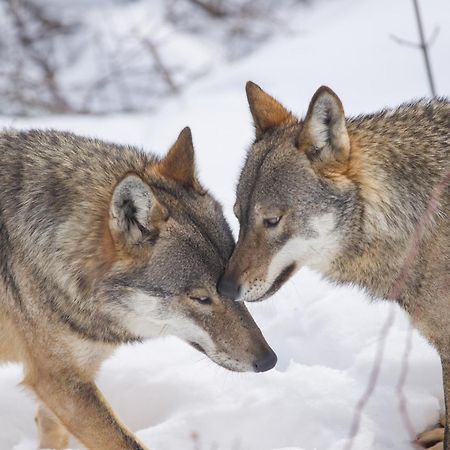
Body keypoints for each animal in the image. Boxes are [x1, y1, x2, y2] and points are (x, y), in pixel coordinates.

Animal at [0, 127, 276, 450]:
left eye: (231, 285)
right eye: (201, 298)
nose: (269, 361)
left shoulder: (69, 380)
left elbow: (52, 431)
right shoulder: (59, 382)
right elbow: (125, 442)